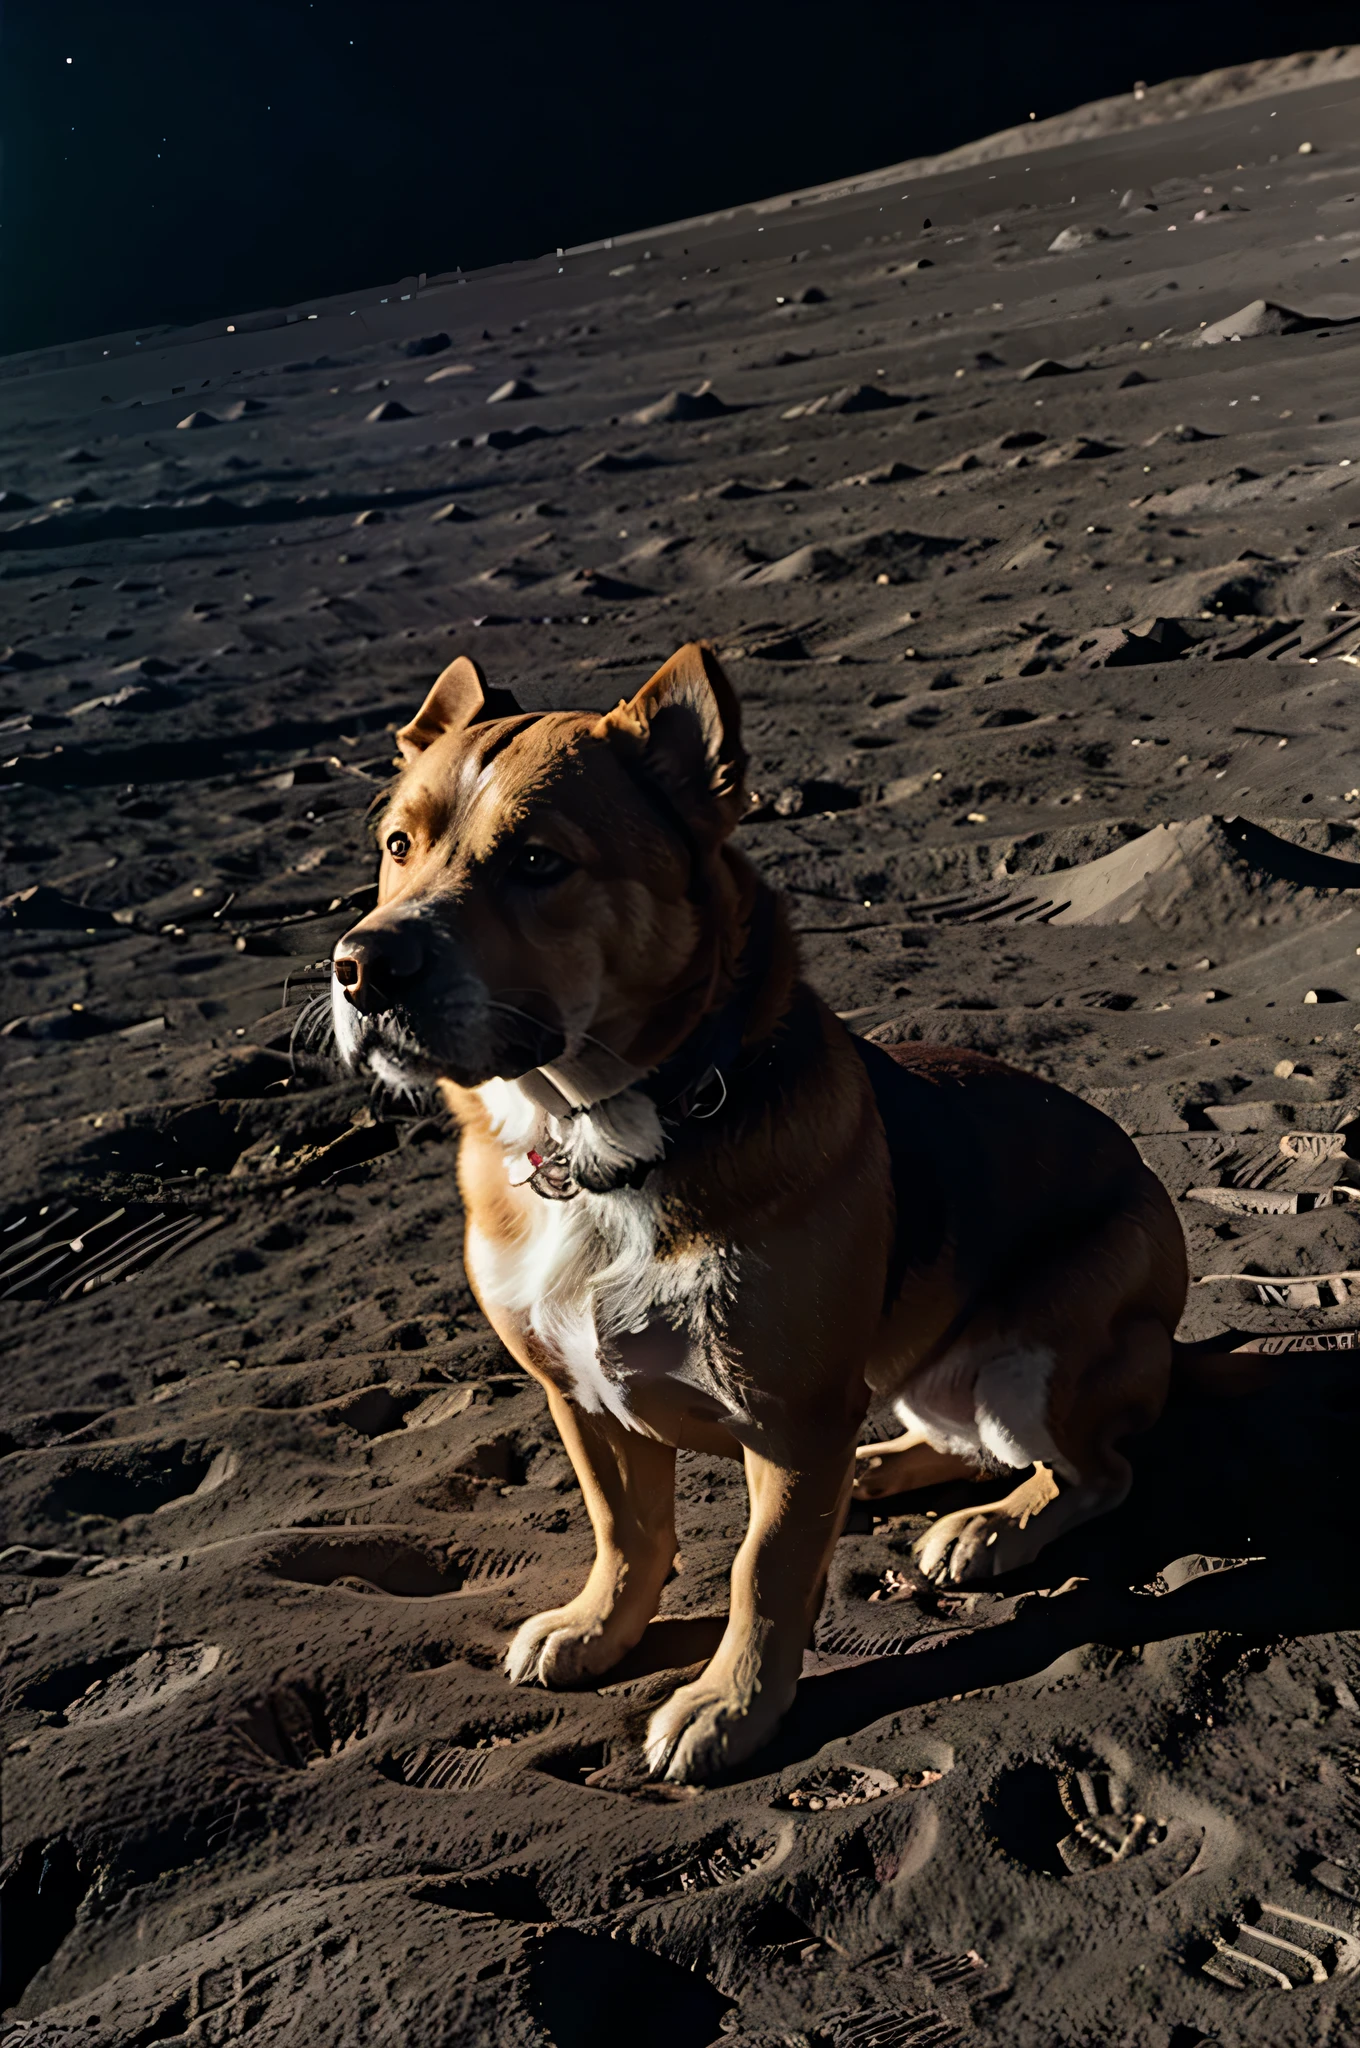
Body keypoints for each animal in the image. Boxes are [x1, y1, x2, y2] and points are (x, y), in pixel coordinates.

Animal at [331, 638, 1187, 1777]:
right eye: (397, 844)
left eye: (540, 862)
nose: (363, 966)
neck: (601, 1146)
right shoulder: (577, 1394)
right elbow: (626, 1531)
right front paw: (599, 1626)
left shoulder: (786, 1421)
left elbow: (764, 1573)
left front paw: (731, 1705)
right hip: (920, 1382)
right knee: (949, 1435)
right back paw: (878, 1469)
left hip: (1034, 1360)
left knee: (1097, 1468)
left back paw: (991, 1527)